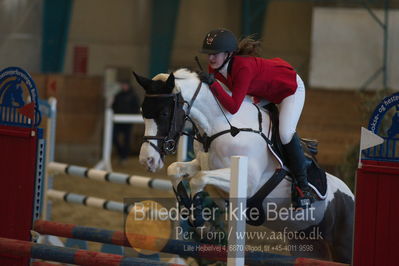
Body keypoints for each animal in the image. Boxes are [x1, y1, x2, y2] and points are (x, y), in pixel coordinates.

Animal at [135, 68, 356, 264]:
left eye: (164, 113)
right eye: (142, 112)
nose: (148, 160)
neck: (224, 127)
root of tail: (352, 196)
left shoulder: (248, 181)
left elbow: (200, 178)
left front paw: (197, 218)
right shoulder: (202, 164)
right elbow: (177, 170)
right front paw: (186, 203)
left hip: (343, 245)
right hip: (305, 243)